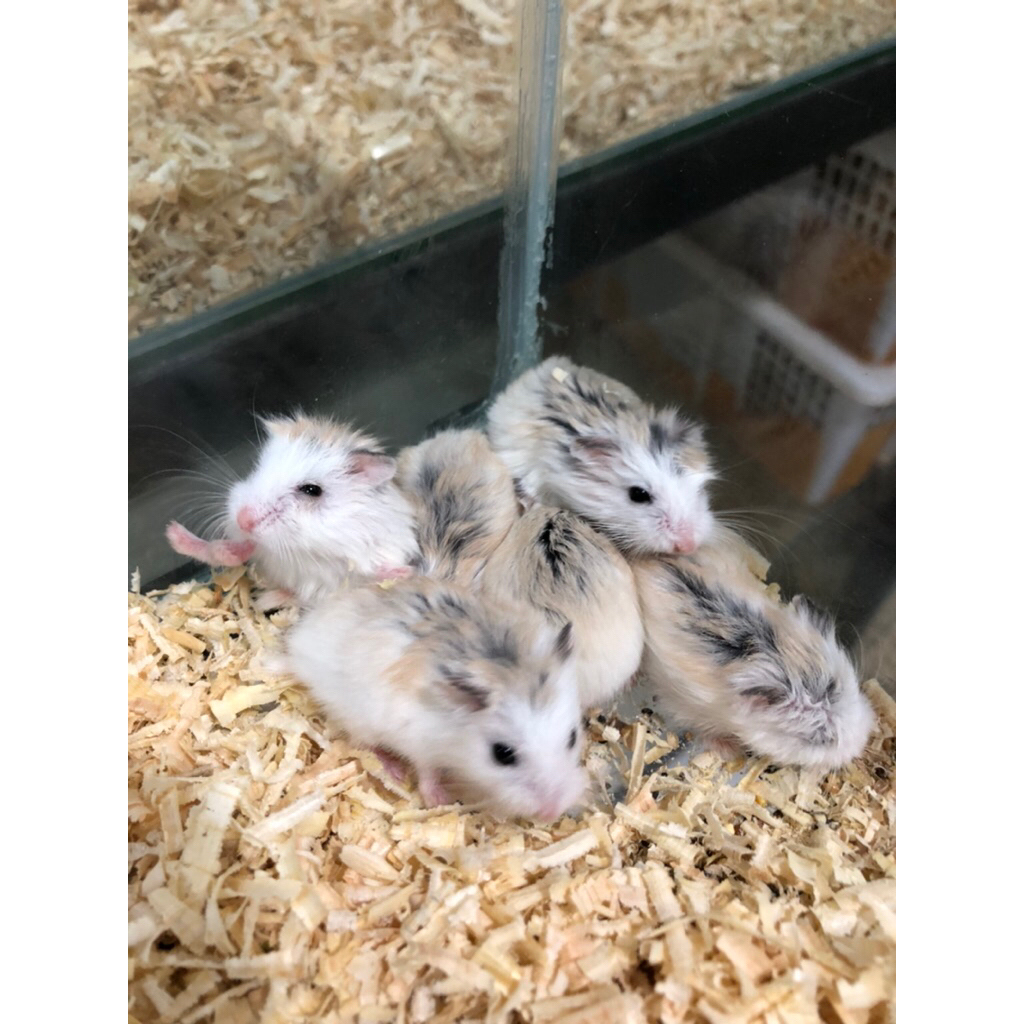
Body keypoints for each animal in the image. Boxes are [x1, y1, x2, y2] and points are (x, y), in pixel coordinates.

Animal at [166, 414, 419, 606]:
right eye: (258, 468)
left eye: (312, 490)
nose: (242, 520)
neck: (303, 547)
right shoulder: (261, 550)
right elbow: (226, 552)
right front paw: (172, 532)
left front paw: (402, 572)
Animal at [283, 577, 588, 822]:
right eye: (502, 755)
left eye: (573, 737)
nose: (552, 813)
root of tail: (299, 642)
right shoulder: (418, 742)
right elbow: (426, 771)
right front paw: (439, 800)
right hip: (358, 718)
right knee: (364, 745)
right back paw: (394, 770)